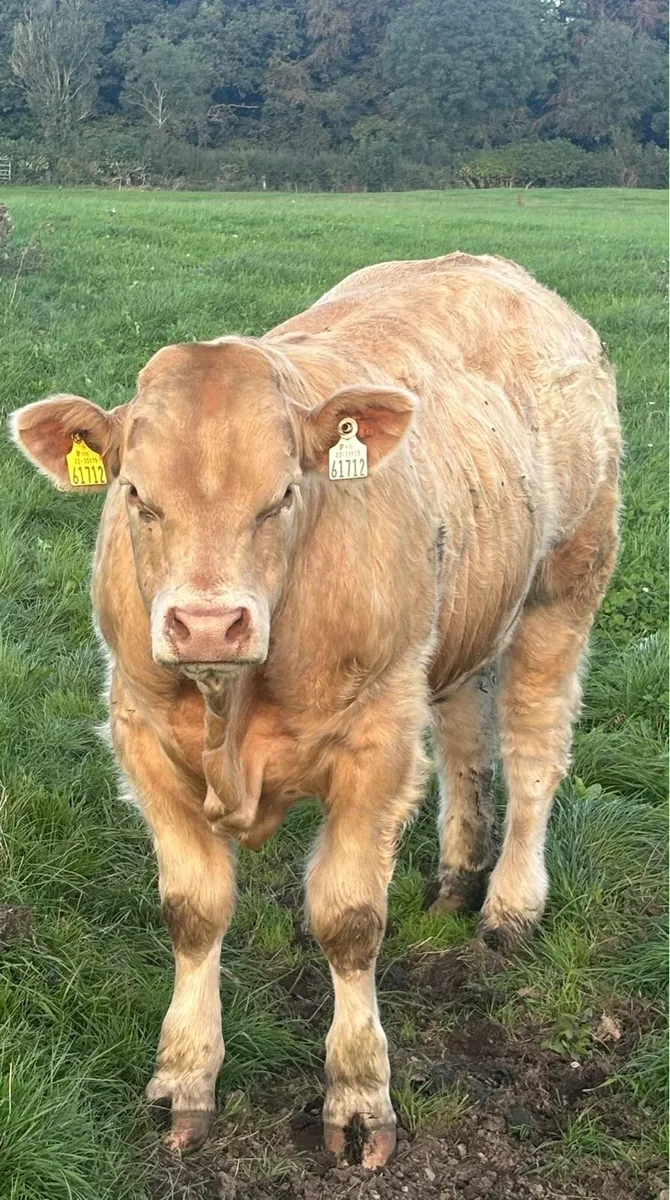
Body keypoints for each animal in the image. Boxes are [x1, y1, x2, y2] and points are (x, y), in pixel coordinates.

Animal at [11, 253, 621, 1169]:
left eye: (283, 496)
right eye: (137, 496)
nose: (206, 624)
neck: (233, 707)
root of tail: (499, 271)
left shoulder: (377, 742)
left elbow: (348, 920)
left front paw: (360, 1095)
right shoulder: (139, 732)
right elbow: (192, 912)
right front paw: (184, 1078)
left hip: (566, 584)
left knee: (533, 751)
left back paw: (510, 906)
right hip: (458, 624)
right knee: (465, 738)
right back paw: (456, 876)